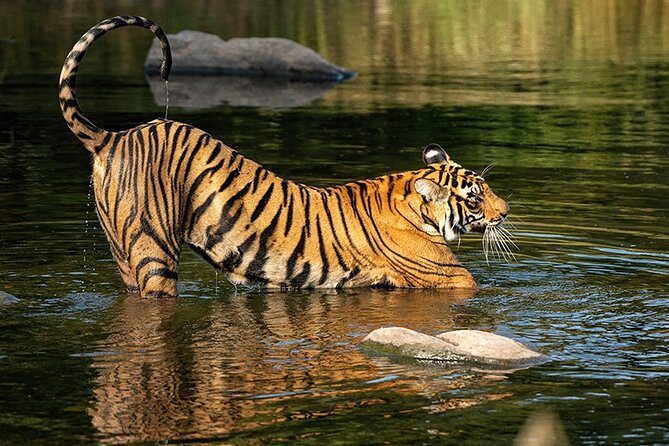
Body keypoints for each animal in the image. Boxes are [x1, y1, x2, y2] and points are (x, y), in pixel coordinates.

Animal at [59, 16, 512, 297]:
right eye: (475, 197)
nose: (506, 212)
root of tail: (112, 136)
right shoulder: (452, 278)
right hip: (153, 251)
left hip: (123, 251)